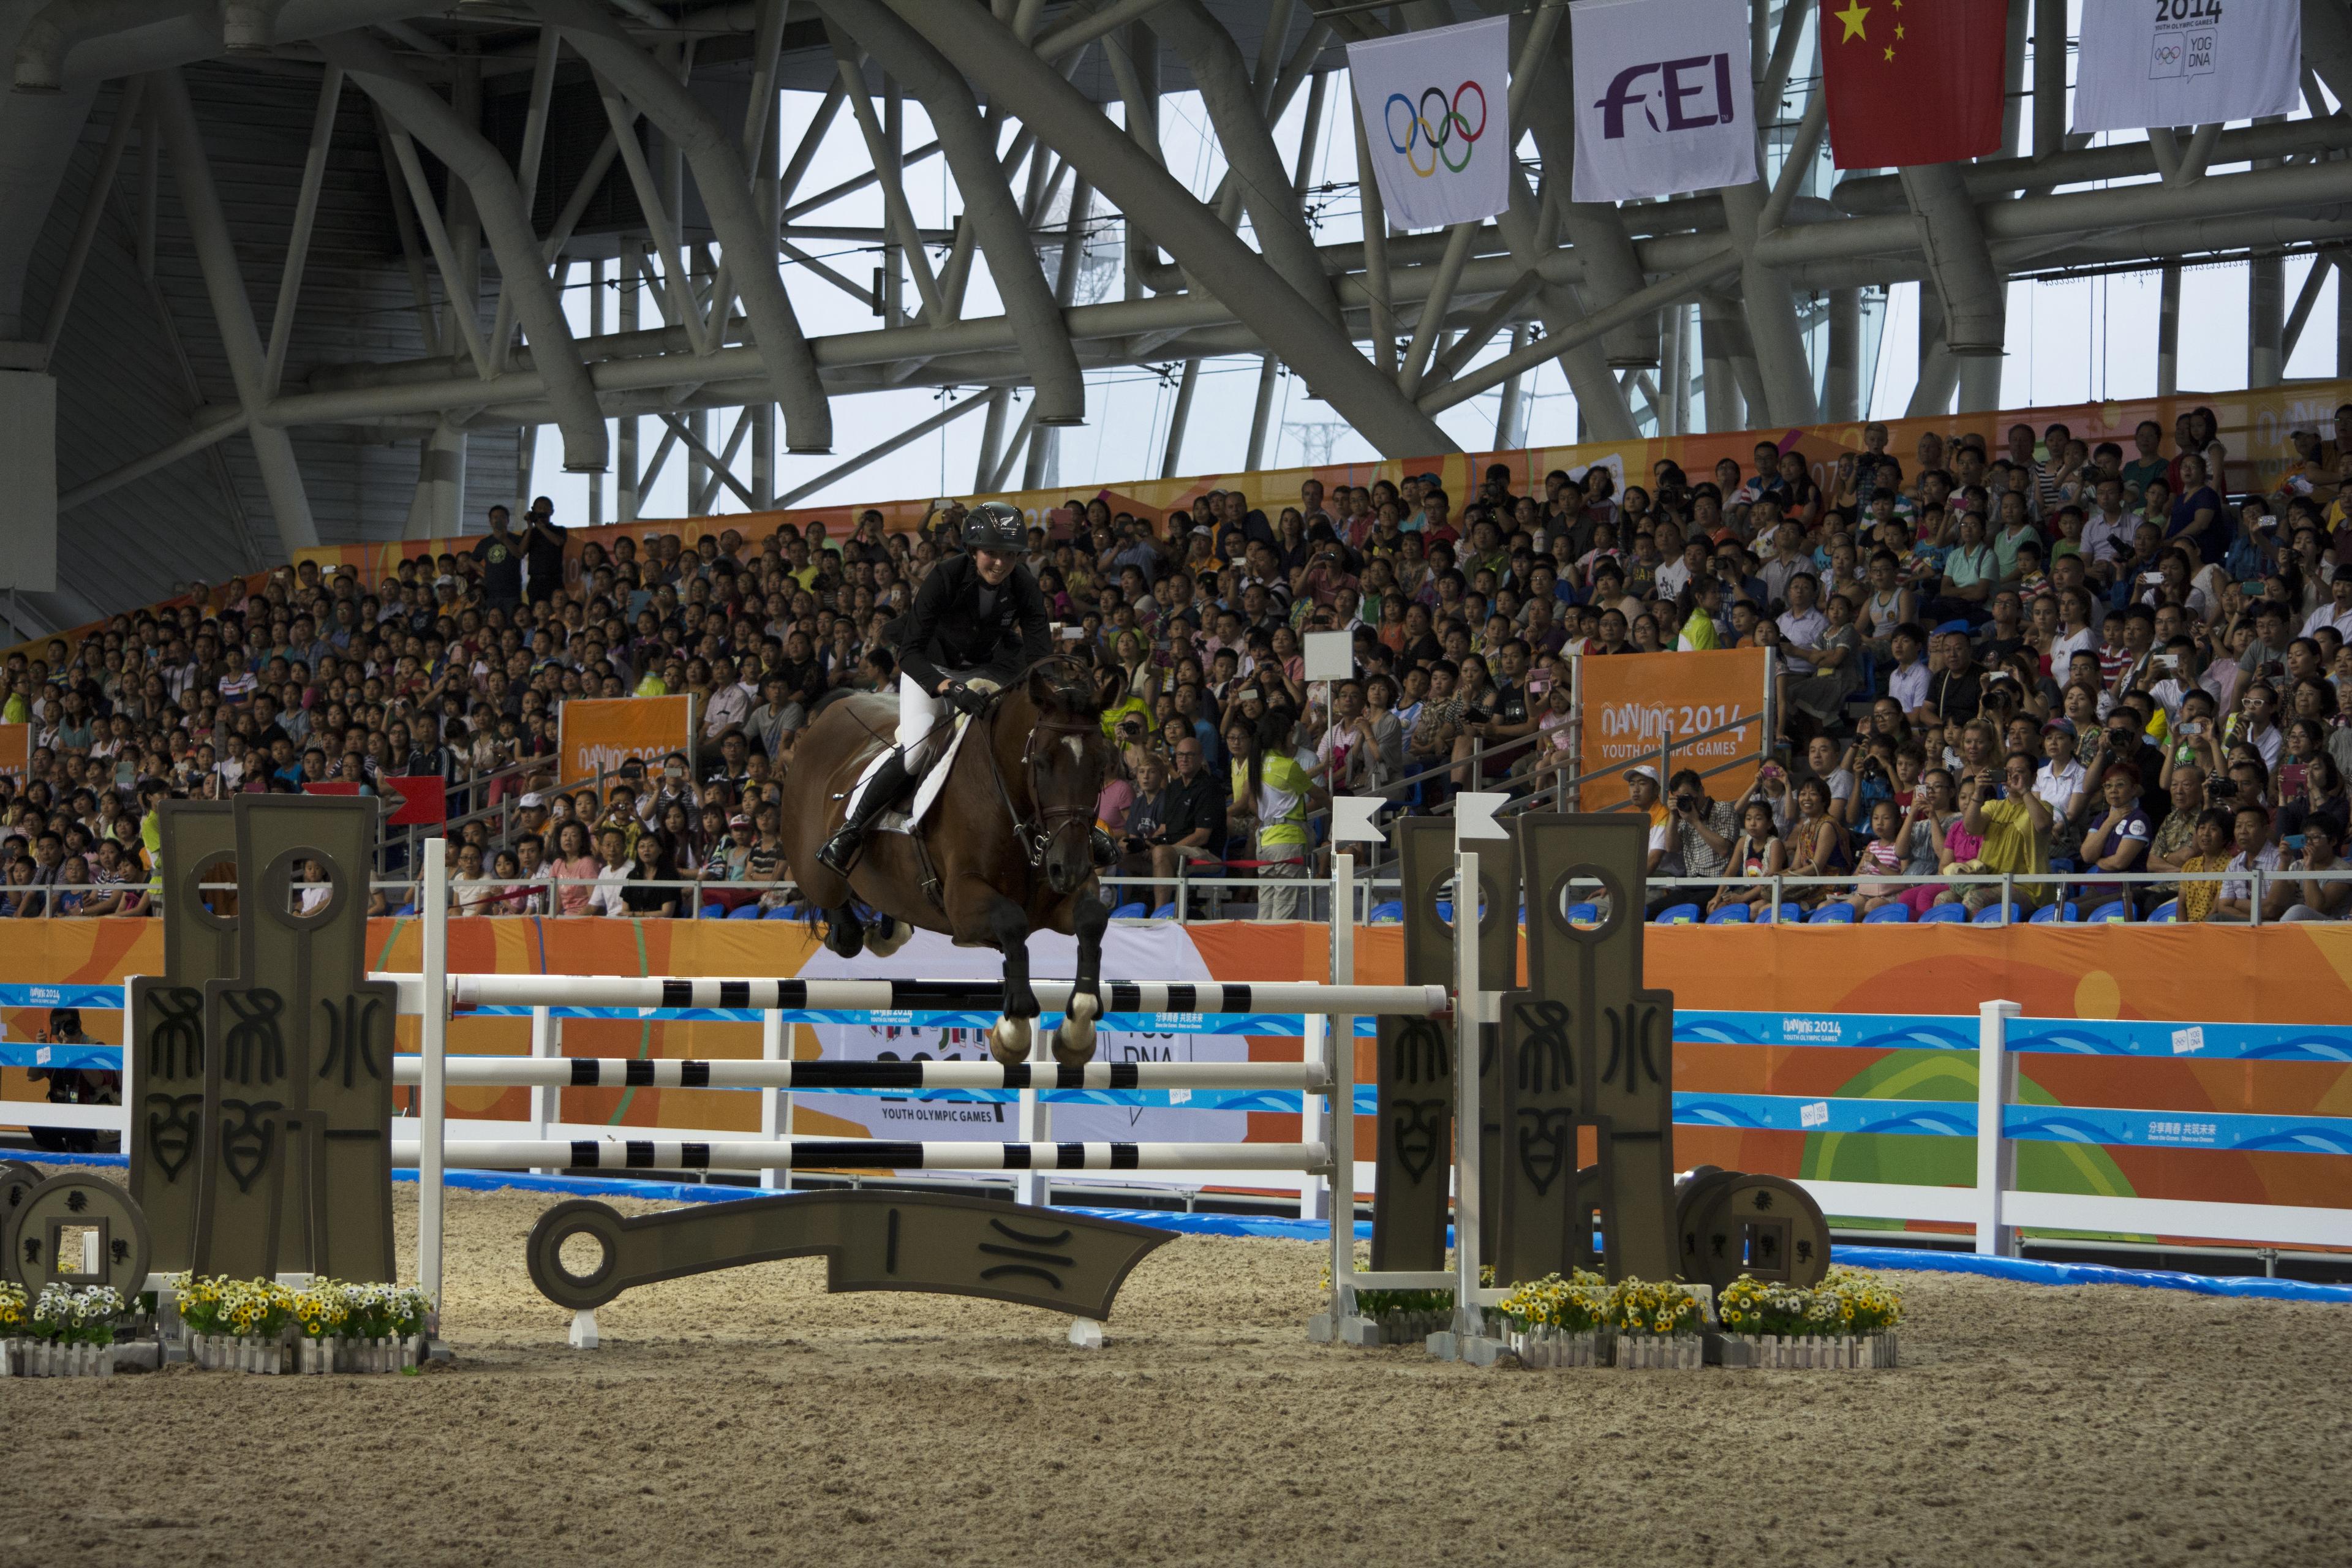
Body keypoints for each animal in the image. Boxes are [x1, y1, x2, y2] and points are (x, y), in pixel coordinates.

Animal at [776, 658, 1115, 1072]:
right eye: (1040, 762)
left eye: (1102, 763)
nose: (1069, 868)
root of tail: (832, 711)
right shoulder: (964, 903)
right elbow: (1012, 923)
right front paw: (1014, 1032)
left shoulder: (1064, 895)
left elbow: (1092, 919)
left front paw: (1077, 1031)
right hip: (815, 870)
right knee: (839, 914)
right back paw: (850, 897)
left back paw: (888, 930)